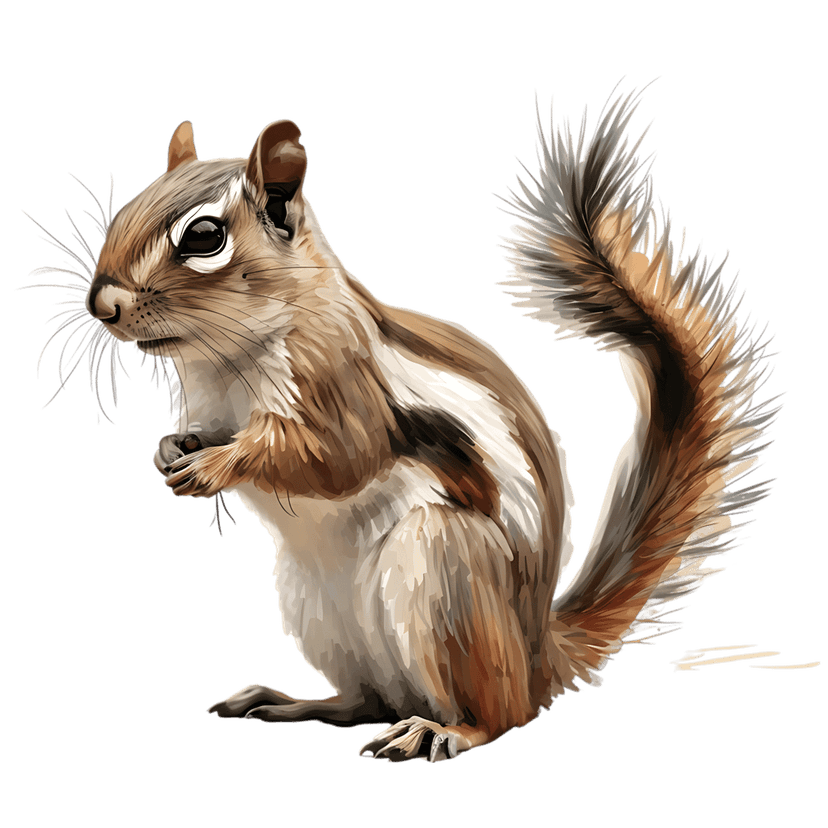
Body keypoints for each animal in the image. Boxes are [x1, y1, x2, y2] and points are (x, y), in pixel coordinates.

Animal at [77, 80, 779, 762]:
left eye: (203, 238)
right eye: (128, 207)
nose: (102, 304)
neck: (222, 358)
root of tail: (535, 657)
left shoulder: (342, 387)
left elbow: (334, 457)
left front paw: (217, 465)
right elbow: (201, 436)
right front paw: (170, 450)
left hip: (448, 574)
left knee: (497, 717)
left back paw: (440, 732)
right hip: (314, 612)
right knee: (364, 701)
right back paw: (288, 702)